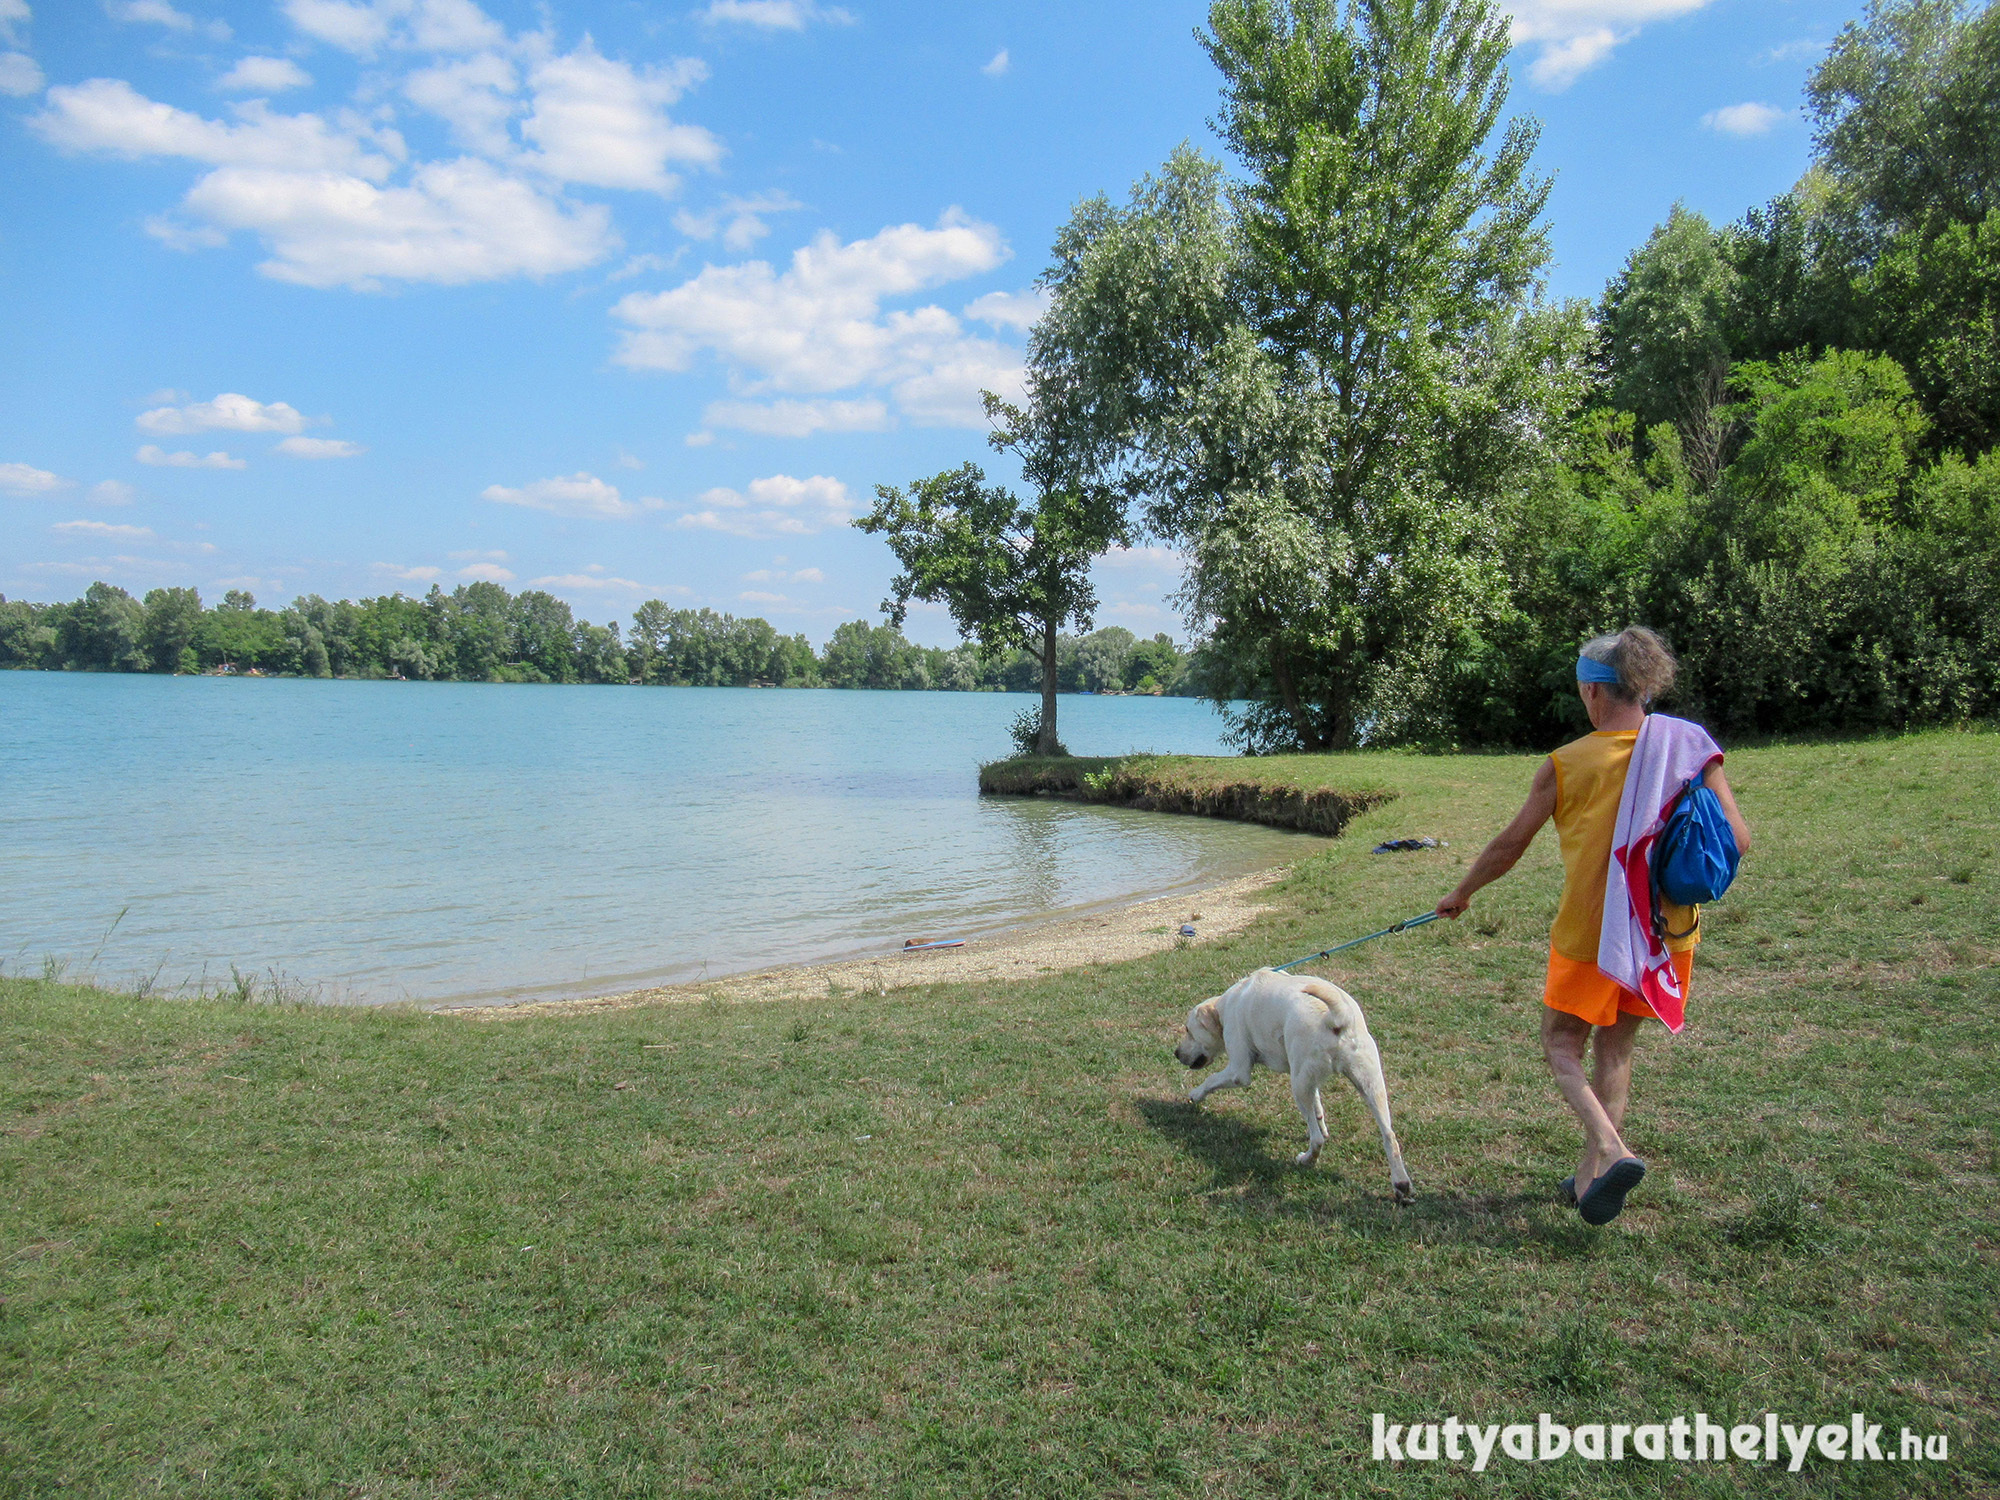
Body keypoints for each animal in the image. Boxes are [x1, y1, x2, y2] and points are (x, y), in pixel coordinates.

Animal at [1176, 968, 1416, 1208]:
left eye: (1188, 1030)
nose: (1176, 1053)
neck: (1225, 1006)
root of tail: (1336, 1018)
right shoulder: (1310, 1080)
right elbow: (1318, 1107)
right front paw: (1323, 1124)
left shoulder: (1238, 1071)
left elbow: (1210, 1080)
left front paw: (1195, 1094)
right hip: (1370, 1085)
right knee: (1389, 1136)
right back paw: (1401, 1185)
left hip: (1298, 1087)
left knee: (1317, 1141)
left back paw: (1307, 1160)